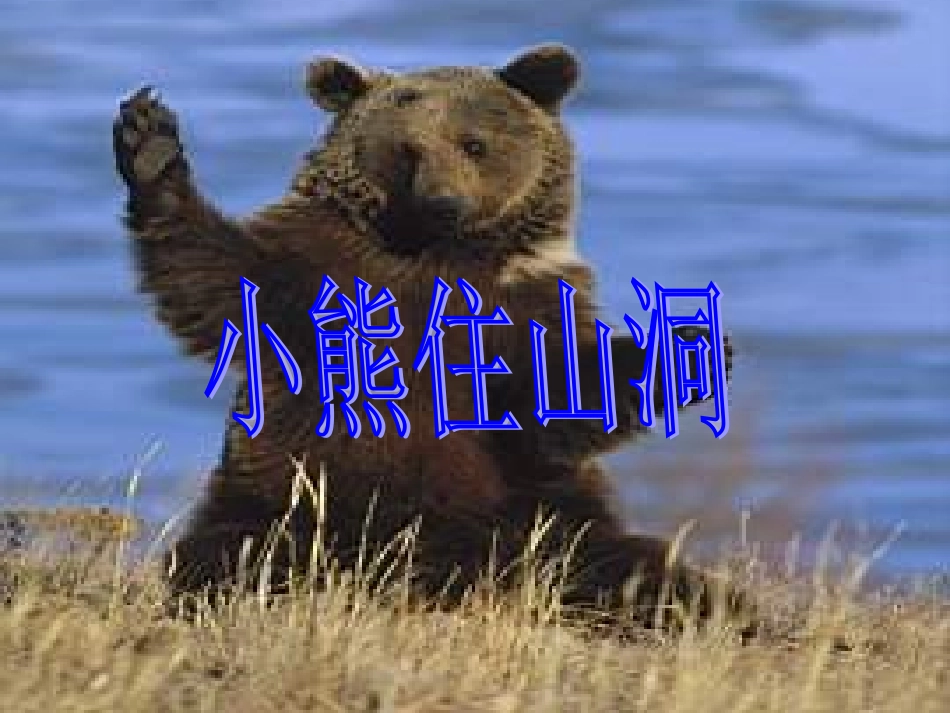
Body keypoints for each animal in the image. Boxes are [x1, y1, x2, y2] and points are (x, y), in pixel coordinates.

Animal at [112, 43, 742, 629]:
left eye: (474, 144)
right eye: (408, 150)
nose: (445, 202)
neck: (435, 254)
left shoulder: (524, 304)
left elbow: (554, 406)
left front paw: (691, 346)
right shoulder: (316, 274)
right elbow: (211, 275)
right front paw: (150, 143)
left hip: (537, 515)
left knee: (626, 570)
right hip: (290, 502)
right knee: (230, 552)